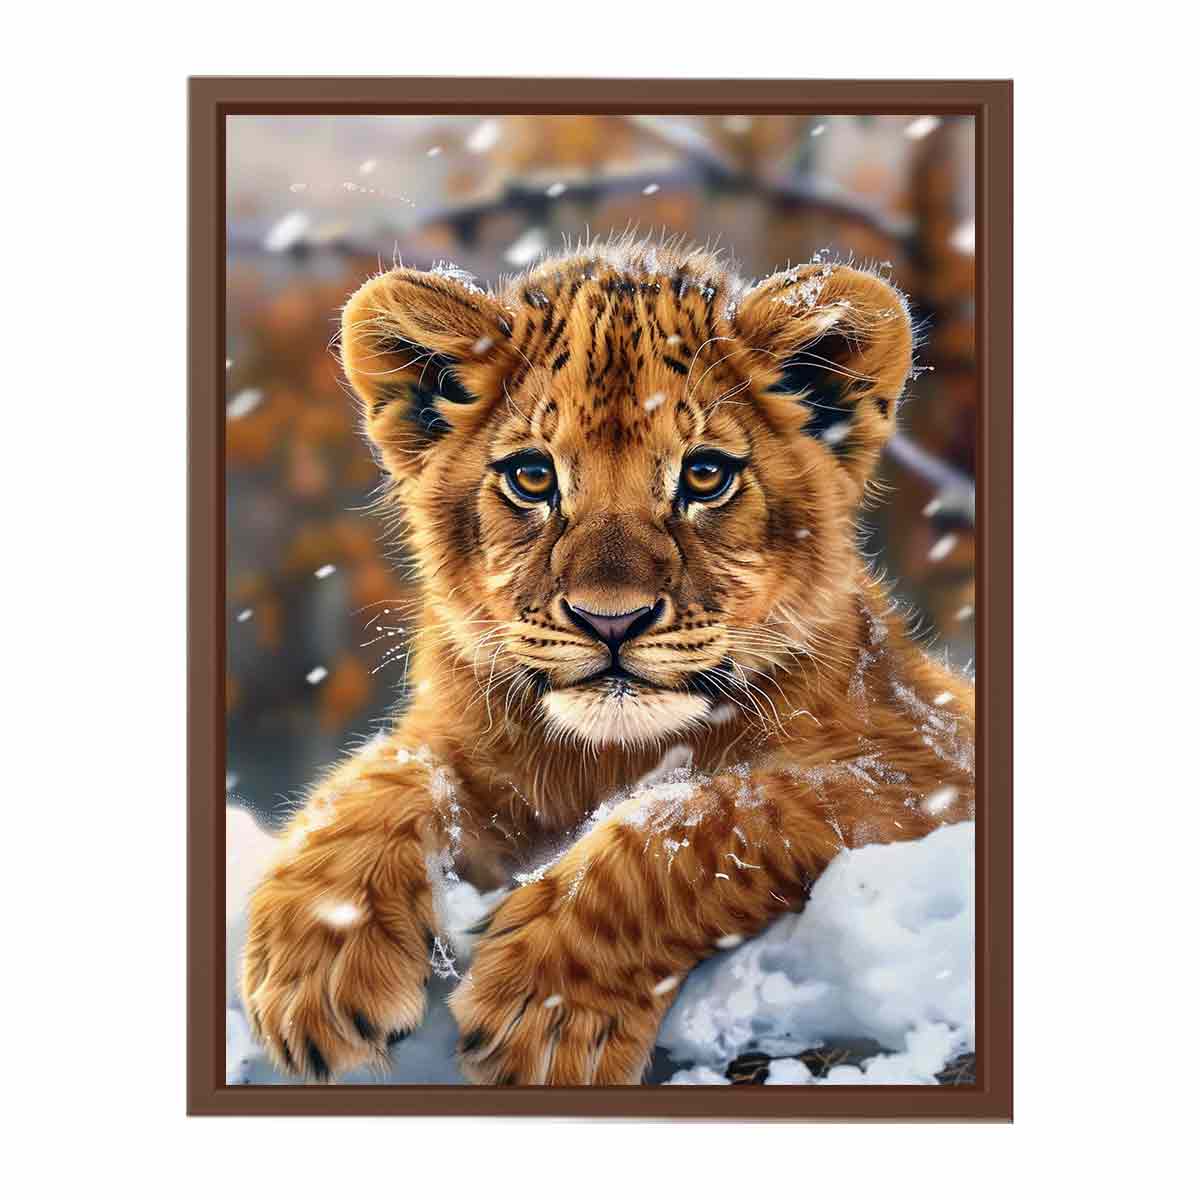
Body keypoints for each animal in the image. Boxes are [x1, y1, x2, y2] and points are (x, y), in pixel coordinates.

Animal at [240, 236, 975, 1085]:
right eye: (532, 476)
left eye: (705, 475)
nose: (610, 620)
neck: (606, 758)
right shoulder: (460, 738)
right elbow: (382, 776)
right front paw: (315, 962)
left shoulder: (927, 767)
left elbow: (718, 811)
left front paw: (548, 1006)